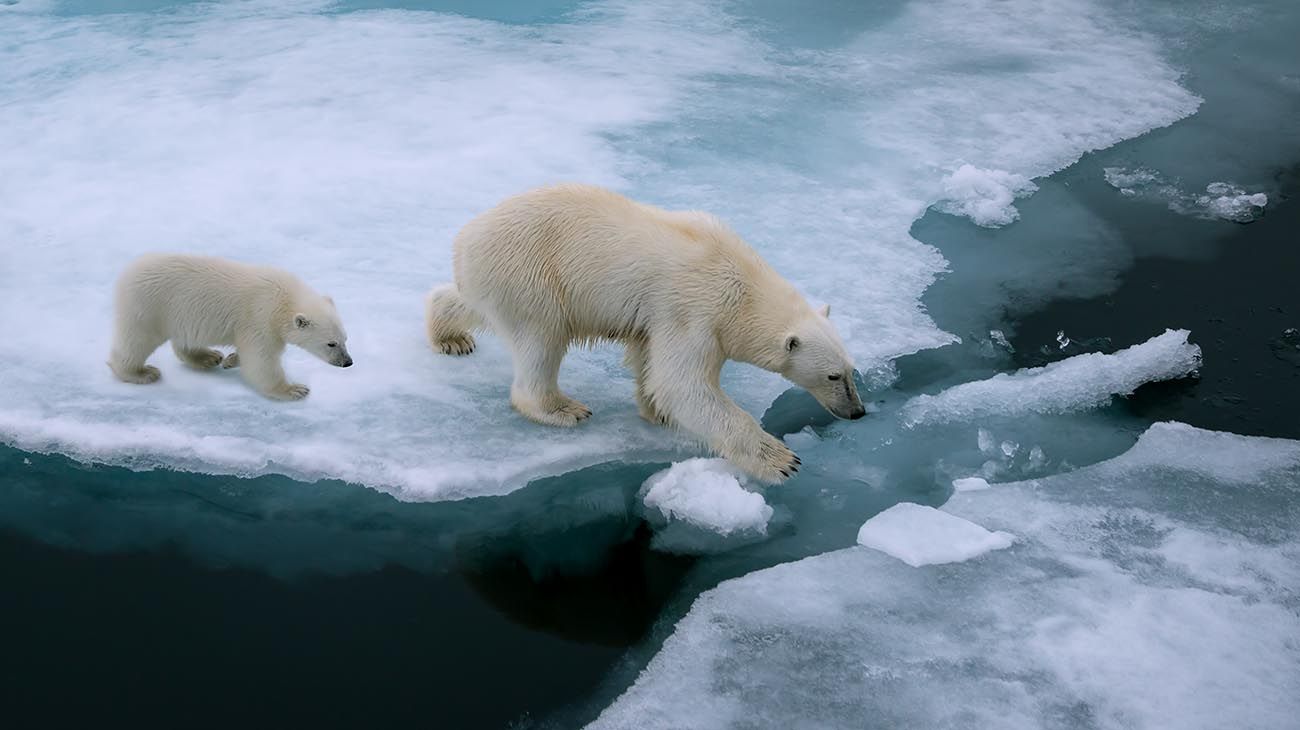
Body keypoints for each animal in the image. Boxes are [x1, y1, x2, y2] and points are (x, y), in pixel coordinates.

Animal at [426, 183, 868, 478]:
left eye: (852, 371)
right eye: (834, 376)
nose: (858, 412)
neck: (741, 280)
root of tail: (464, 241)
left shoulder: (661, 316)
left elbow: (650, 361)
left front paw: (657, 411)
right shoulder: (695, 309)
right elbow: (682, 383)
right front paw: (781, 460)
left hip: (496, 278)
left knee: (472, 304)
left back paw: (449, 335)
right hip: (532, 274)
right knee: (541, 339)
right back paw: (562, 408)